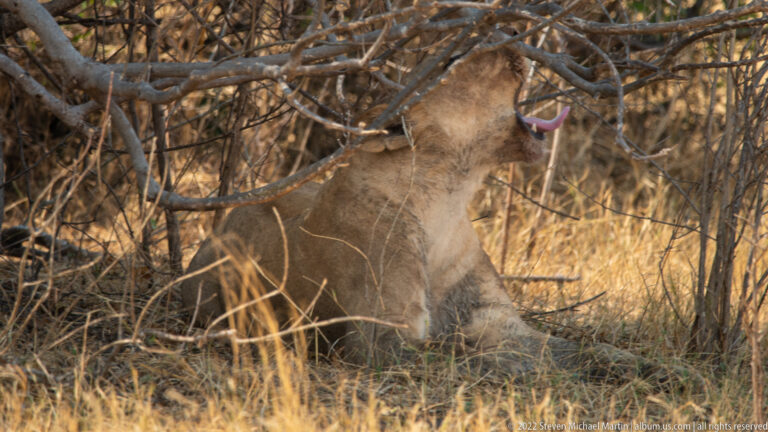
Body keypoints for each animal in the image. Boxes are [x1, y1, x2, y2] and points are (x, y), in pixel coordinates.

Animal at [180, 45, 659, 380]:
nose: (511, 36)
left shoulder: (498, 319)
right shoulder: (384, 343)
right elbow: (474, 360)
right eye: (452, 60)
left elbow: (574, 348)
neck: (445, 202)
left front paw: (650, 367)